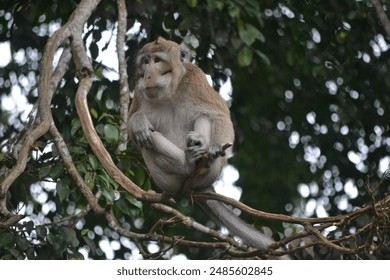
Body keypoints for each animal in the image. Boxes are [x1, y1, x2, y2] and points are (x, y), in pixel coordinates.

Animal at [128, 36, 286, 258]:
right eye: (145, 61)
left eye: (157, 60)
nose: (148, 75)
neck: (170, 92)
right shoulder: (139, 90)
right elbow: (131, 129)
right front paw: (139, 122)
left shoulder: (196, 78)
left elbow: (219, 114)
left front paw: (213, 146)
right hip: (165, 181)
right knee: (148, 139)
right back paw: (186, 162)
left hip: (213, 172)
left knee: (203, 116)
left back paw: (200, 152)